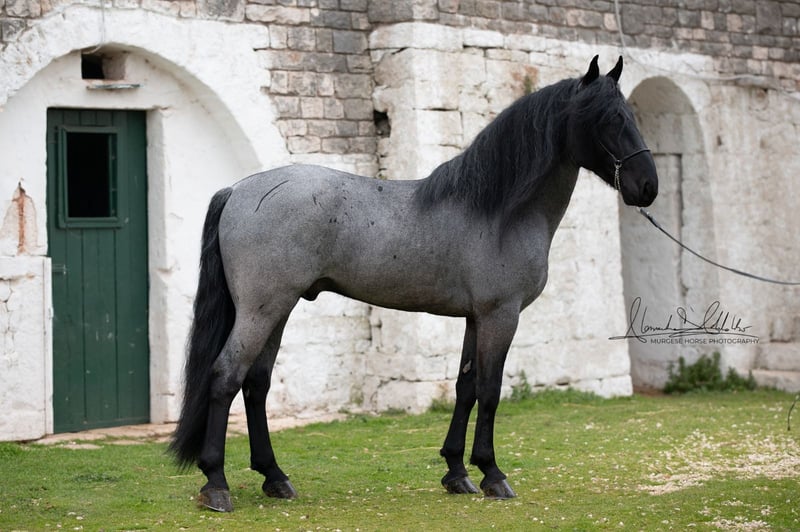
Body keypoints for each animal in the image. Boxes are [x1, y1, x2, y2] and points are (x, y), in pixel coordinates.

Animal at [168, 55, 658, 512]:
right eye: (609, 119)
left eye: (631, 117)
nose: (648, 187)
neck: (499, 210)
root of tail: (238, 190)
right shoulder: (500, 316)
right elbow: (490, 391)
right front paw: (492, 474)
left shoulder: (475, 318)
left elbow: (465, 387)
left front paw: (457, 471)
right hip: (262, 309)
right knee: (225, 376)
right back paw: (216, 484)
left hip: (278, 309)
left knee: (256, 384)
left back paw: (275, 477)